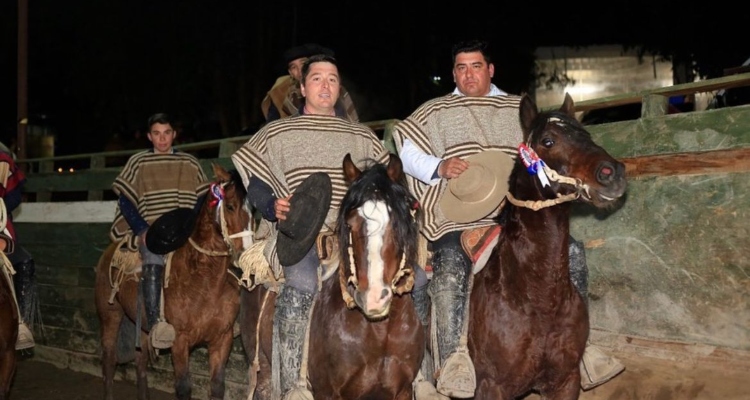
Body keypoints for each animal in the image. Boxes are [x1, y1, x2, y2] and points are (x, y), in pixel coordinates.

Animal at [93, 163, 253, 400]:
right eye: (231, 206)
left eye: (254, 211)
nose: (245, 254)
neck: (204, 282)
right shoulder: (180, 341)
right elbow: (184, 387)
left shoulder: (222, 339)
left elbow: (217, 387)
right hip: (110, 316)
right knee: (109, 361)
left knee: (140, 362)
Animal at [244, 154, 426, 400]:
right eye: (350, 224)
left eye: (397, 222)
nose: (373, 298)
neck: (379, 332)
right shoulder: (328, 392)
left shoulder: (402, 391)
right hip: (263, 368)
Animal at [470, 92, 628, 398]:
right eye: (548, 141)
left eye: (586, 134)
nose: (612, 173)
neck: (536, 302)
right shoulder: (492, 386)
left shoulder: (565, 380)